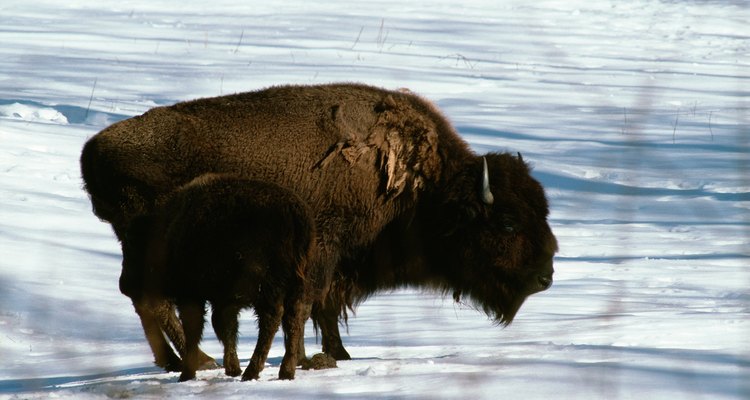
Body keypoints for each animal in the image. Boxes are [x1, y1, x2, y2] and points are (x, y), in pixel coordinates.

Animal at [140, 176, 316, 382]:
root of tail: (296, 213)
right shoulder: (223, 299)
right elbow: (225, 327)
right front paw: (232, 368)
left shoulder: (192, 295)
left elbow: (196, 329)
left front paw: (188, 374)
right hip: (296, 287)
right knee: (293, 319)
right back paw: (285, 372)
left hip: (267, 288)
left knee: (271, 319)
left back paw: (252, 372)